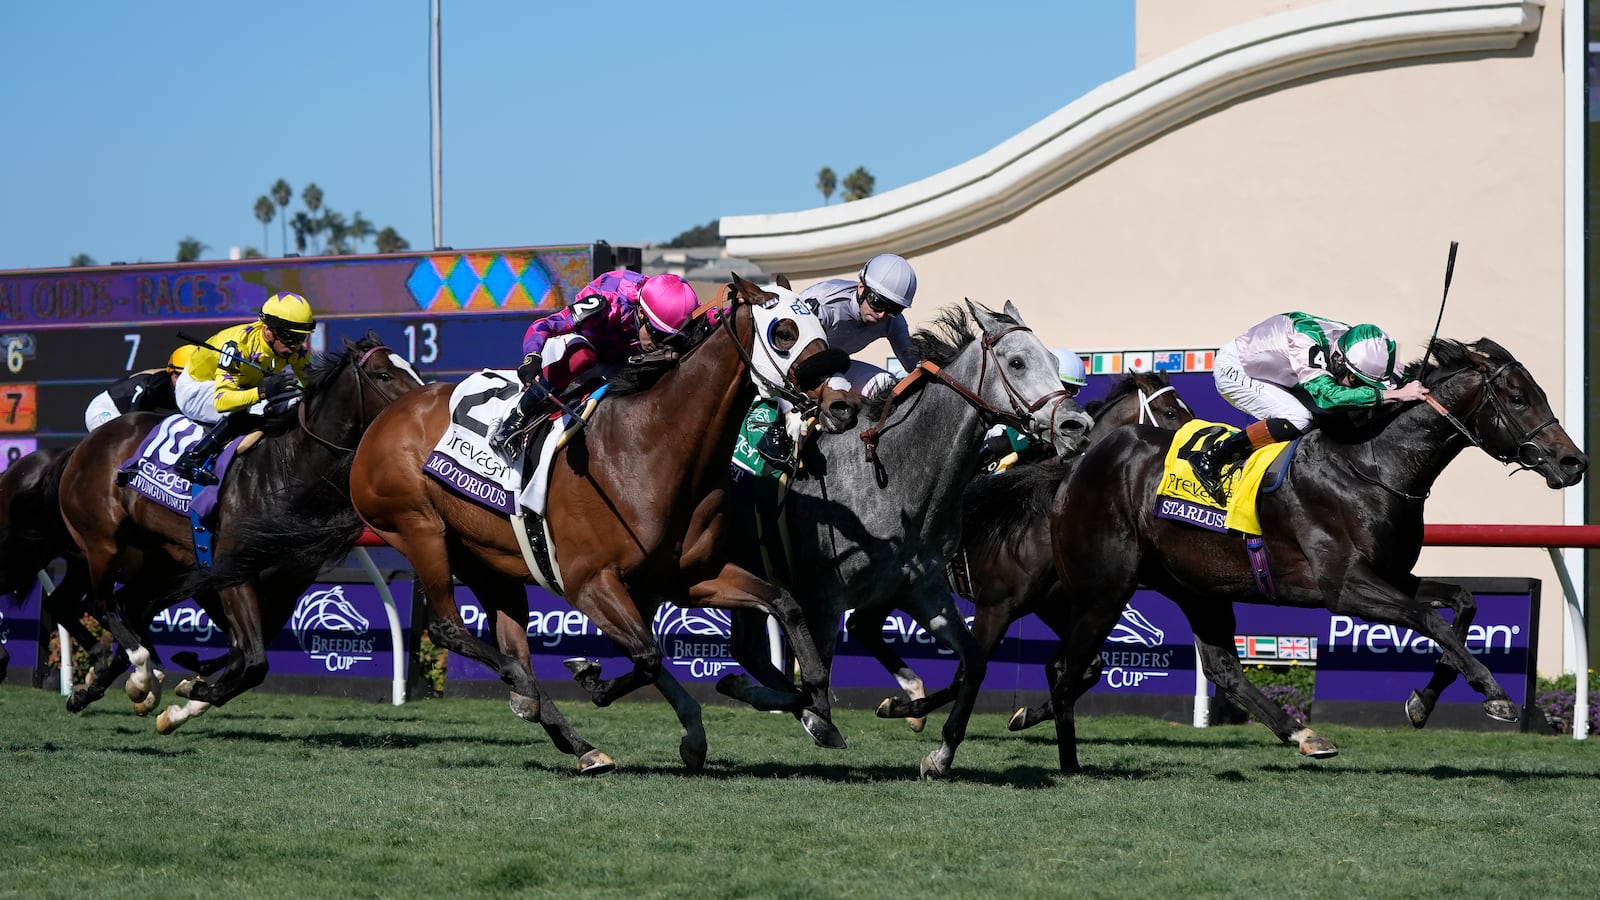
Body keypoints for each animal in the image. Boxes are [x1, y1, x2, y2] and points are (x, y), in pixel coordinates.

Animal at [58, 331, 425, 730]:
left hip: (163, 562)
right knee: (101, 602)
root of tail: (91, 441)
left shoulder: (286, 583)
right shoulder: (233, 571)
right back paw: (140, 676)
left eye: (414, 369)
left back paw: (108, 689)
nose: (421, 408)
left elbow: (244, 656)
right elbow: (253, 663)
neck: (289, 468)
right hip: (102, 541)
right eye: (384, 375)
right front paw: (190, 688)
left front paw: (187, 697)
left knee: (128, 605)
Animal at [345, 273, 857, 771]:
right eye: (784, 333)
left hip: (486, 560)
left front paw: (813, 708)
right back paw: (524, 692)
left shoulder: (688, 576)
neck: (654, 445)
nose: (842, 405)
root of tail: (390, 413)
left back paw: (574, 740)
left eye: (822, 327)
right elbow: (647, 654)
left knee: (513, 646)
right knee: (449, 629)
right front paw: (600, 683)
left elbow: (785, 606)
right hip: (419, 529)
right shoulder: (590, 582)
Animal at [720, 297, 1094, 775]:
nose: (1076, 426)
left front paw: (940, 753)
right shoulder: (825, 595)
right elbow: (818, 675)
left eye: (1051, 359)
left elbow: (974, 663)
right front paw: (821, 719)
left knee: (750, 647)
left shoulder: (921, 587)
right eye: (1016, 361)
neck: (894, 477)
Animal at [883, 369, 1196, 730]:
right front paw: (910, 711)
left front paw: (1027, 714)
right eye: (1170, 412)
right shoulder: (994, 607)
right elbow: (966, 673)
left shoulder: (1053, 604)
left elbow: (1086, 667)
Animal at [1043, 336, 1580, 771]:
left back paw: (1304, 734)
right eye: (1518, 398)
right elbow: (1432, 620)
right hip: (1106, 587)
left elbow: (1462, 603)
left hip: (1197, 586)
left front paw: (1425, 702)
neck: (1371, 464)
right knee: (1067, 666)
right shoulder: (1344, 586)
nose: (1574, 462)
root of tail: (1080, 462)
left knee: (1222, 667)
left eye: (1541, 393)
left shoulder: (1389, 574)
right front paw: (1495, 694)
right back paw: (1065, 757)